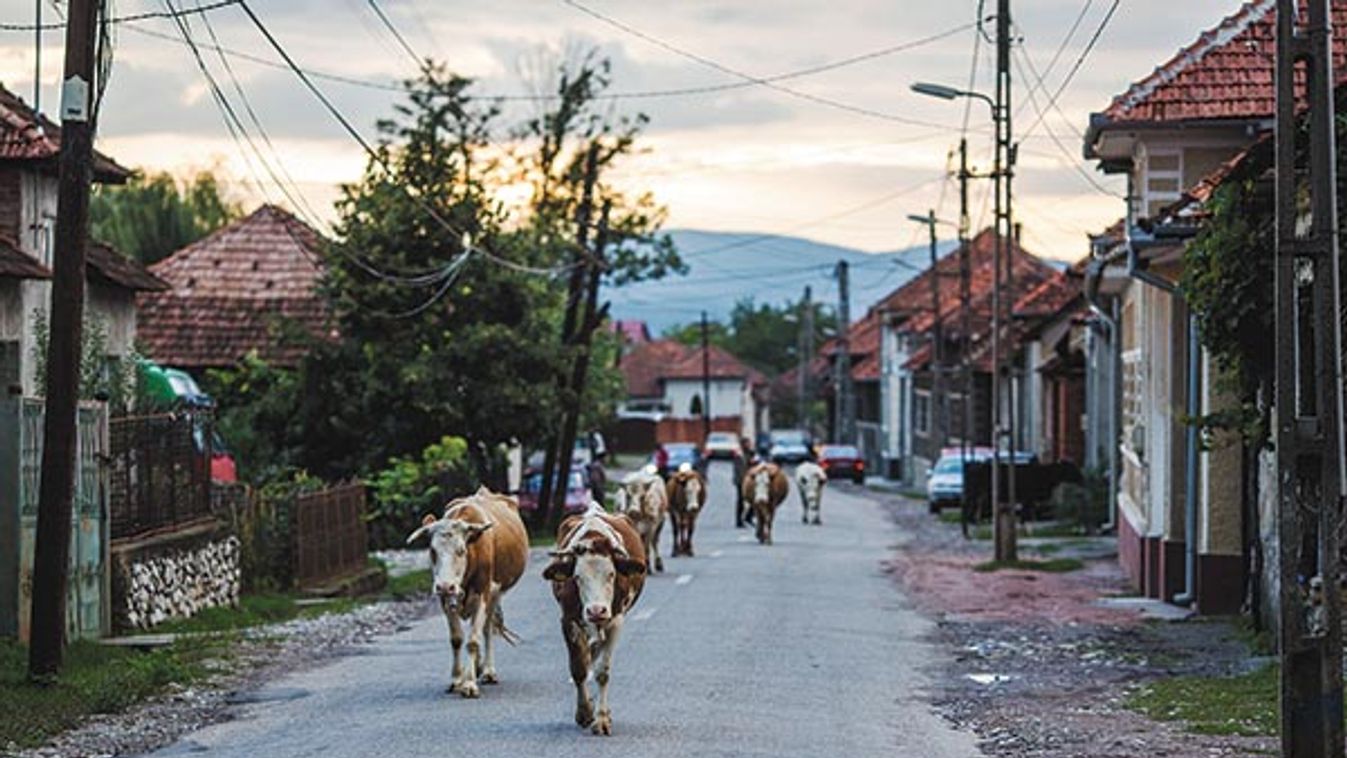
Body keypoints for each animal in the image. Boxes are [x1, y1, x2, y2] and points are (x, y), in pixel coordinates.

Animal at [404, 487, 525, 700]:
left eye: (461, 550)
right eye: (432, 551)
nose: (445, 586)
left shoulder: (483, 593)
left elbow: (473, 640)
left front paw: (468, 683)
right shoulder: (446, 599)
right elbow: (457, 639)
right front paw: (457, 679)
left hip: (495, 594)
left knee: (486, 629)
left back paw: (488, 671)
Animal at [546, 503, 651, 737]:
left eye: (611, 574)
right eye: (577, 577)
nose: (596, 610)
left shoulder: (615, 621)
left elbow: (602, 672)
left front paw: (601, 719)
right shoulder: (568, 620)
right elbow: (579, 668)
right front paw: (584, 712)